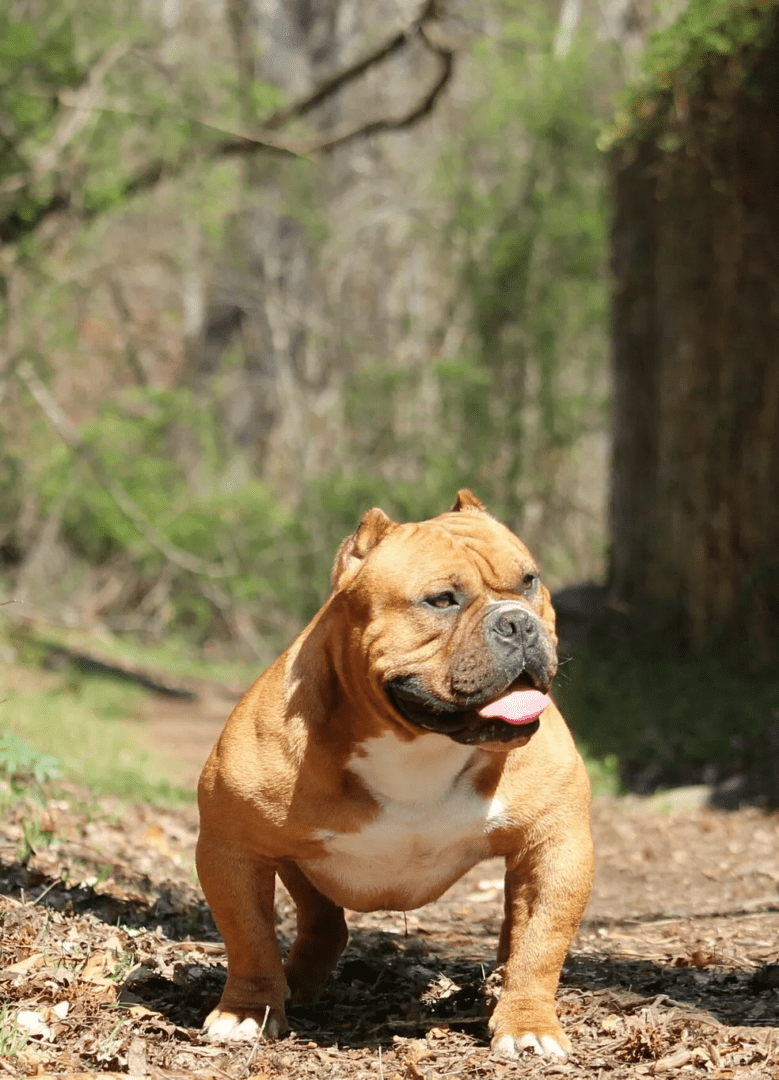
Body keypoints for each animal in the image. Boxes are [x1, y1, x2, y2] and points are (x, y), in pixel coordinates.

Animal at [197, 494, 592, 1058]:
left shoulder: (555, 845)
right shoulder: (232, 848)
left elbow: (541, 942)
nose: (518, 623)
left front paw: (528, 1023)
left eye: (528, 582)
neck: (419, 744)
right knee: (321, 925)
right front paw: (247, 1011)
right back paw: (295, 985)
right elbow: (248, 937)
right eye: (442, 600)